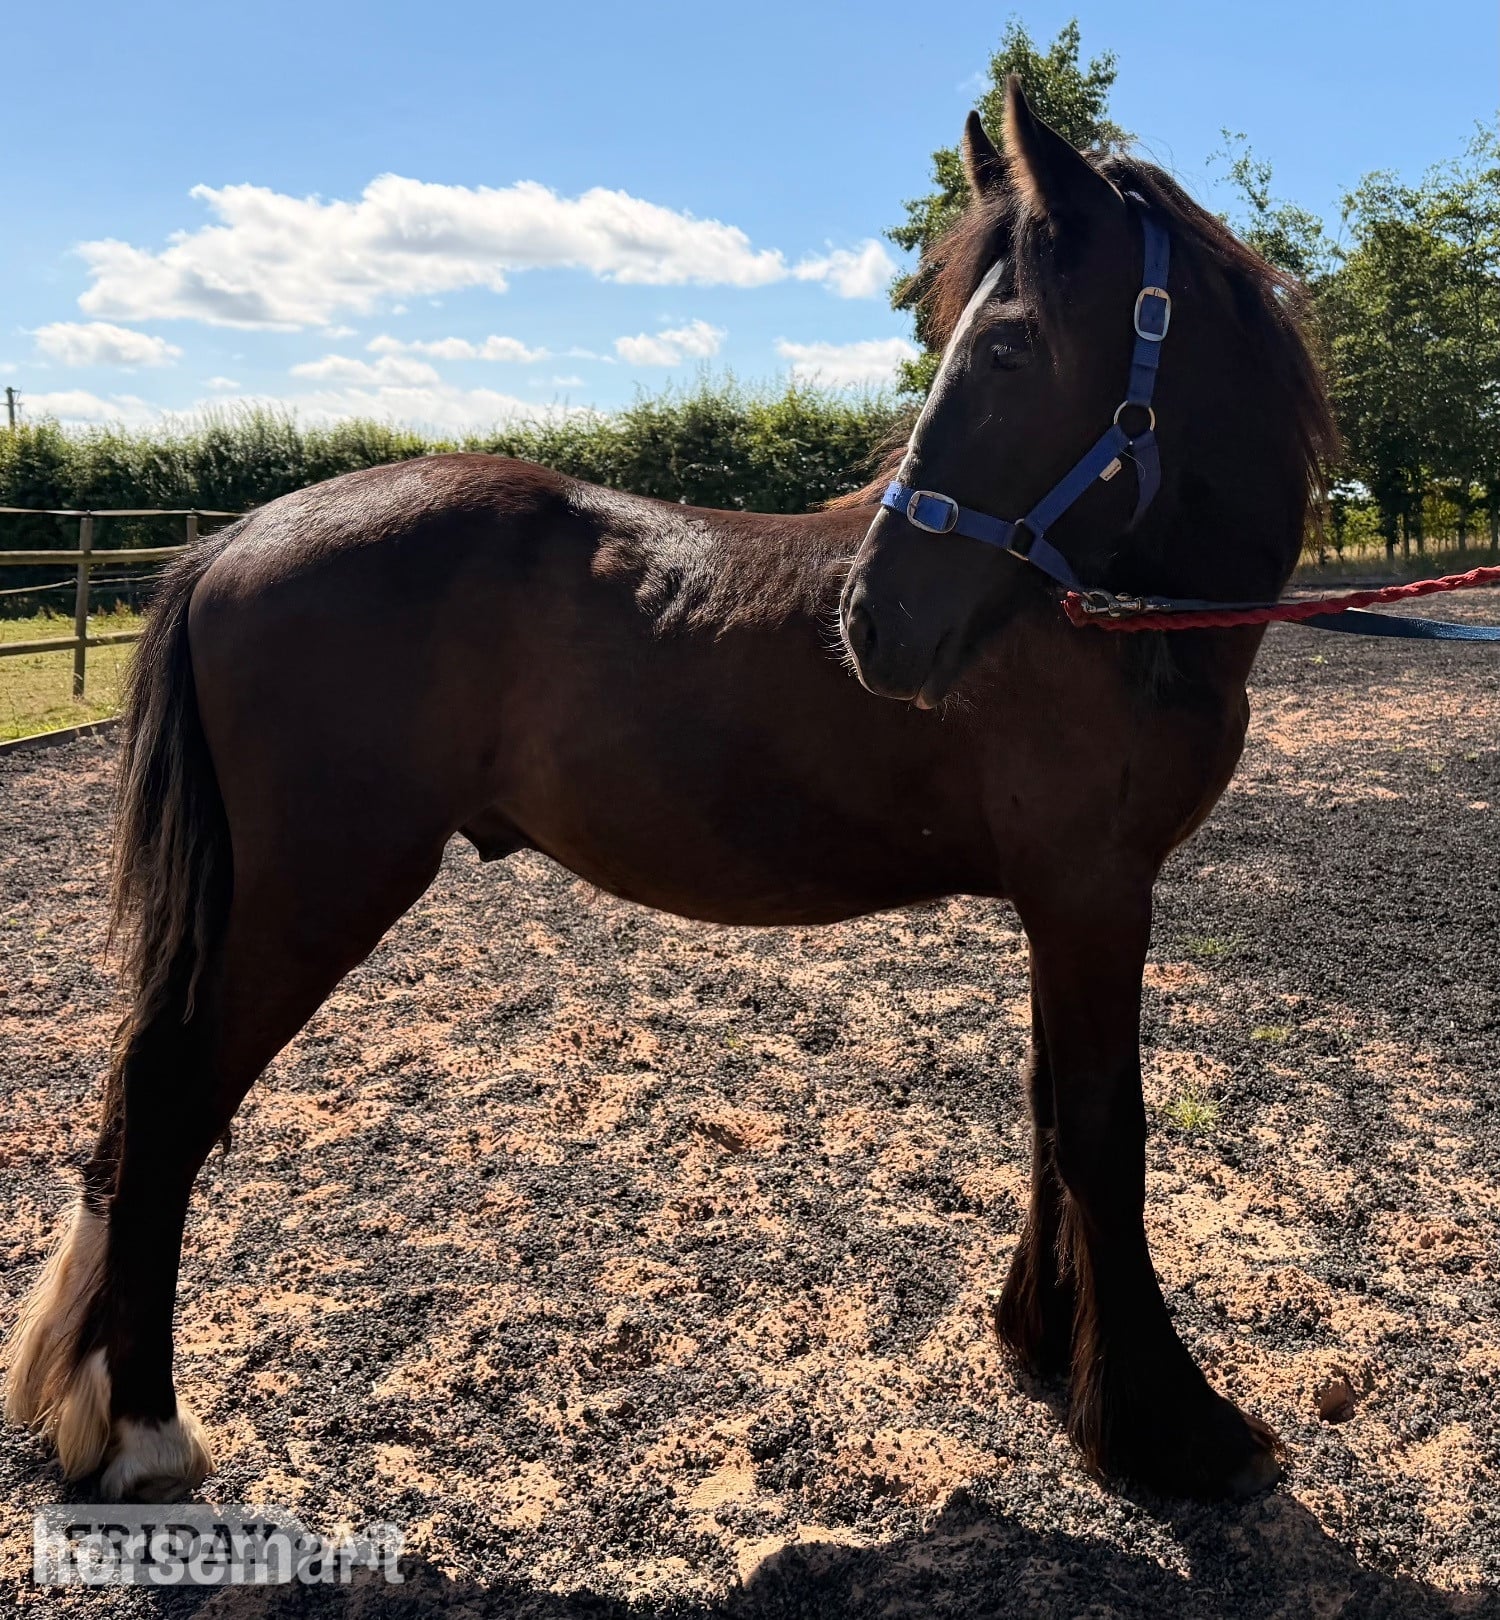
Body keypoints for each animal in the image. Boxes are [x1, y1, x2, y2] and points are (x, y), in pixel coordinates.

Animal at [4, 79, 1336, 1505]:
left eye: (1011, 349)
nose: (876, 622)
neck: (1107, 611)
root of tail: (230, 542)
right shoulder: (1093, 892)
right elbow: (1104, 1129)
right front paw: (1172, 1425)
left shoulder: (1060, 901)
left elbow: (1048, 1110)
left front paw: (1045, 1340)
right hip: (313, 894)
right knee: (168, 1103)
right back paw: (142, 1428)